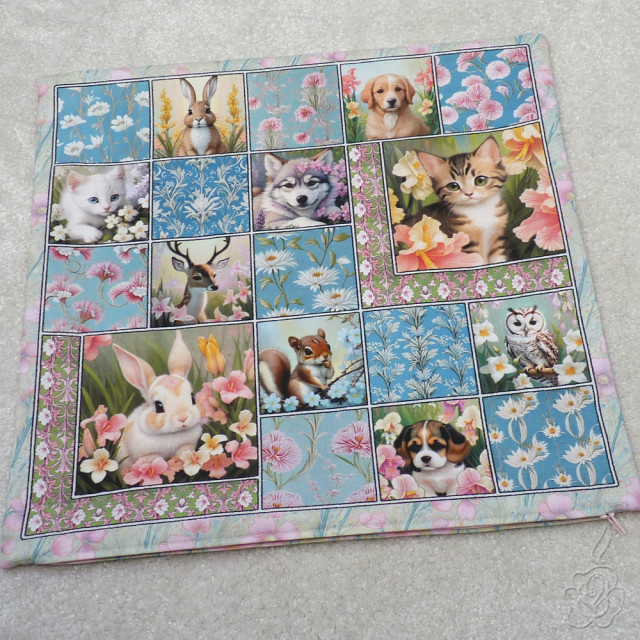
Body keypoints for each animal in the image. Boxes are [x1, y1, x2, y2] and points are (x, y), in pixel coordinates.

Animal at [112, 331, 204, 464]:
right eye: (158, 406)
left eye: (193, 398)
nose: (183, 418)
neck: (172, 434)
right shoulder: (148, 454)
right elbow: (156, 460)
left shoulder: (186, 445)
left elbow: (182, 454)